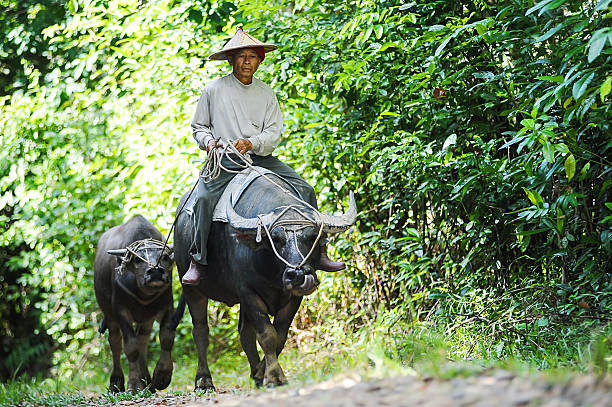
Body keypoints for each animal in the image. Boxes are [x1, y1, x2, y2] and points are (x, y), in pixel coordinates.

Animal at [94, 215, 179, 394]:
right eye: (137, 259)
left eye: (165, 257)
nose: (155, 271)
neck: (142, 292)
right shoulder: (120, 311)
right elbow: (131, 347)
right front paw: (133, 385)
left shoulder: (166, 306)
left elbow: (166, 338)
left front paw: (161, 377)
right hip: (109, 314)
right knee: (115, 342)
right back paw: (116, 383)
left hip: (146, 318)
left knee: (143, 340)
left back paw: (146, 379)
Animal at [172, 171, 356, 388]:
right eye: (275, 238)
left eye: (313, 237)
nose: (298, 275)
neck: (272, 273)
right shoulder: (248, 291)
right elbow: (267, 334)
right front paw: (275, 376)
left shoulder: (294, 297)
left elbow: (280, 335)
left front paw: (262, 372)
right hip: (191, 288)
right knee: (201, 330)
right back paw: (204, 380)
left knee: (244, 332)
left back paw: (255, 373)